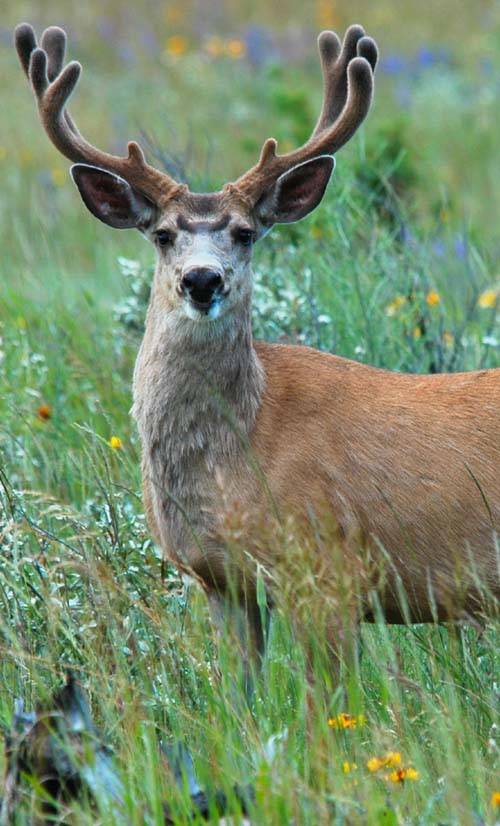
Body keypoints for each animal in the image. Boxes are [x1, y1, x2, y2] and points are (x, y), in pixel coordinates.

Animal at [13, 24, 498, 684]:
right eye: (163, 234)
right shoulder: (223, 581)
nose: (202, 280)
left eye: (245, 233)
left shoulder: (325, 566)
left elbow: (330, 703)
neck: (239, 448)